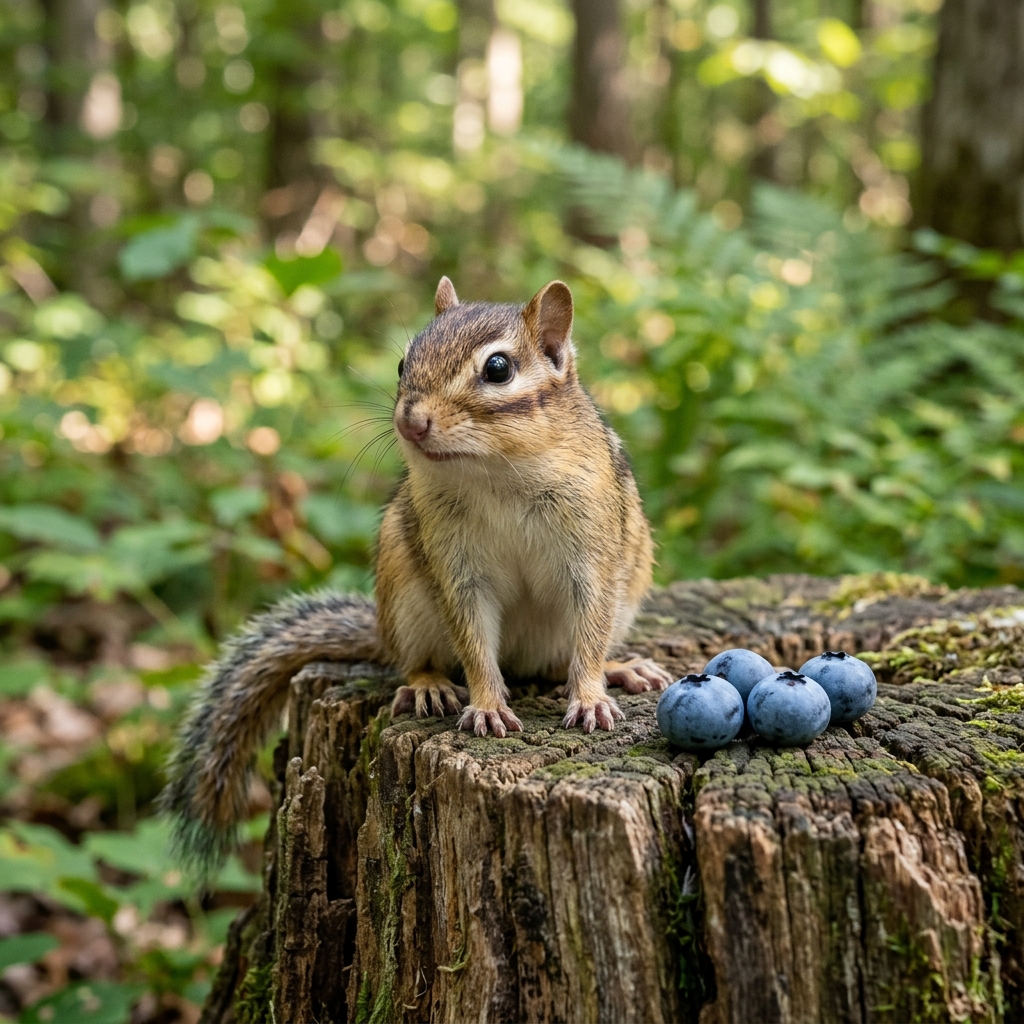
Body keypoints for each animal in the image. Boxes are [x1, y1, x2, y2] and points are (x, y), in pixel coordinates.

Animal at [161, 277, 672, 875]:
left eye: (498, 368)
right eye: (404, 362)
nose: (410, 421)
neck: (497, 473)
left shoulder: (591, 554)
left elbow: (588, 630)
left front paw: (591, 695)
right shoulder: (456, 565)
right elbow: (473, 639)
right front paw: (487, 706)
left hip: (622, 597)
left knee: (564, 661)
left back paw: (621, 667)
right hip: (404, 598)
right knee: (416, 659)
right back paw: (428, 686)